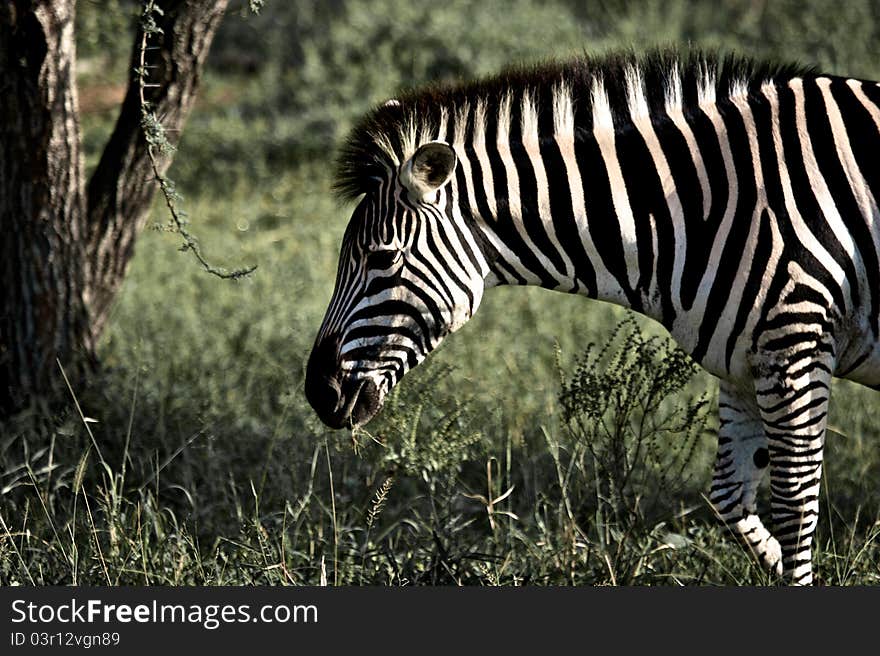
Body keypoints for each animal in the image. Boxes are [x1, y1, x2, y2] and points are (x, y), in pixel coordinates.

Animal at [306, 51, 880, 584]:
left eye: (382, 258)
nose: (317, 392)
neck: (701, 204)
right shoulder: (744, 362)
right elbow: (729, 497)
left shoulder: (796, 346)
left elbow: (794, 505)